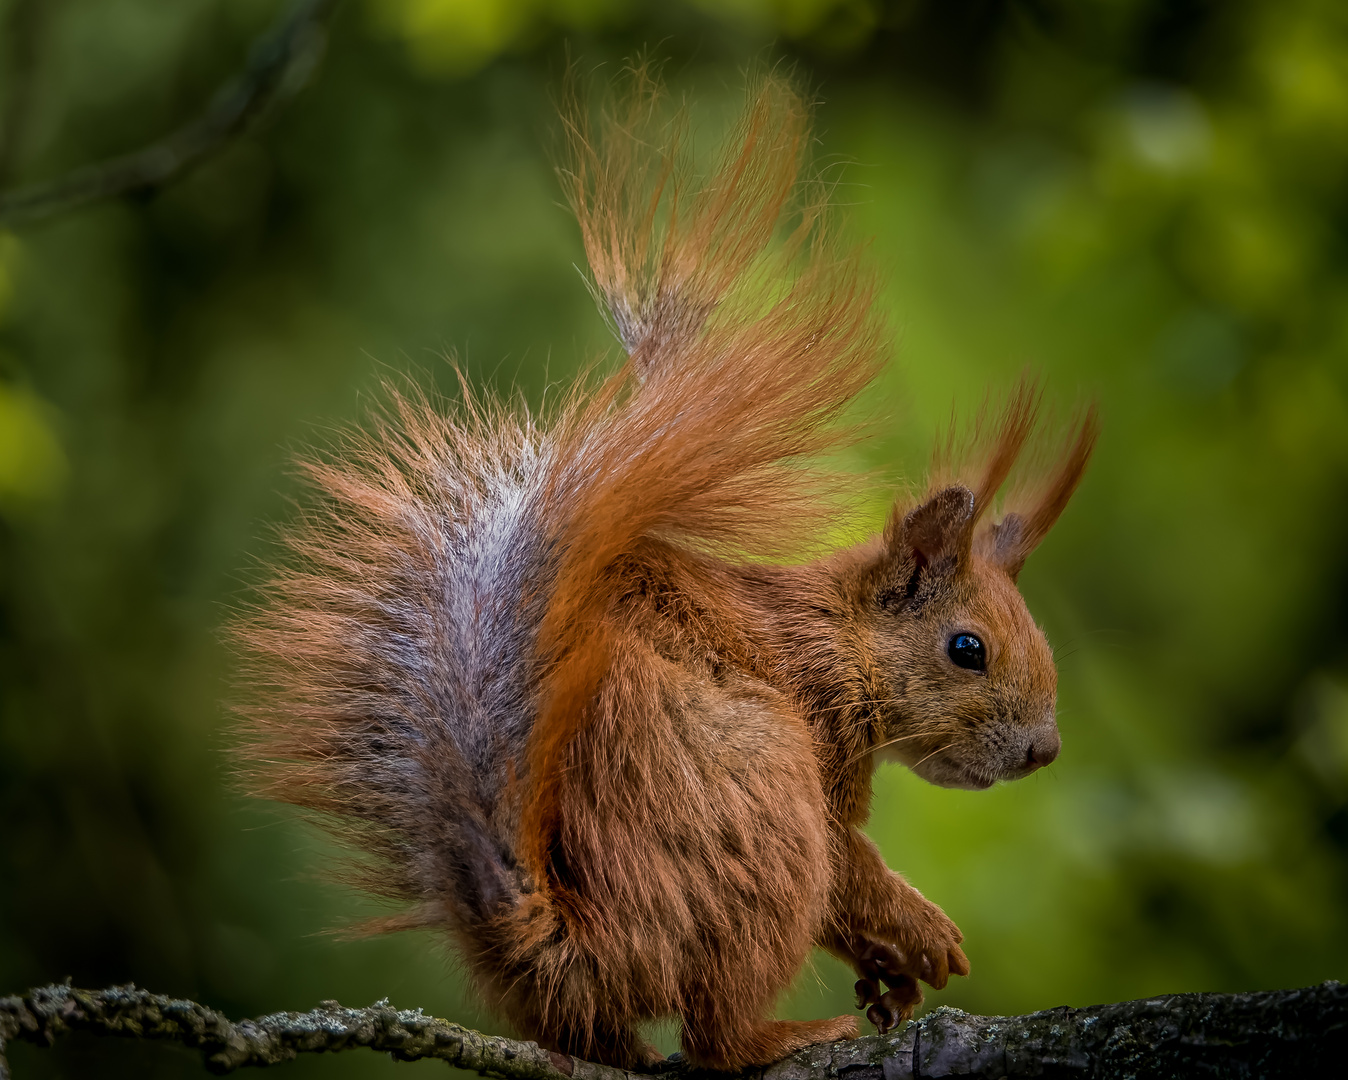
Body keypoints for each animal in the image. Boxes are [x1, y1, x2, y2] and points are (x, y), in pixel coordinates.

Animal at [234, 69, 1094, 1067]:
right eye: (967, 649)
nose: (1044, 751)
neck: (838, 639)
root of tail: (579, 950)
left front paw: (895, 977)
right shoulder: (818, 729)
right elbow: (848, 869)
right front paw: (926, 938)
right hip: (760, 811)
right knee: (719, 1031)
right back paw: (791, 1031)